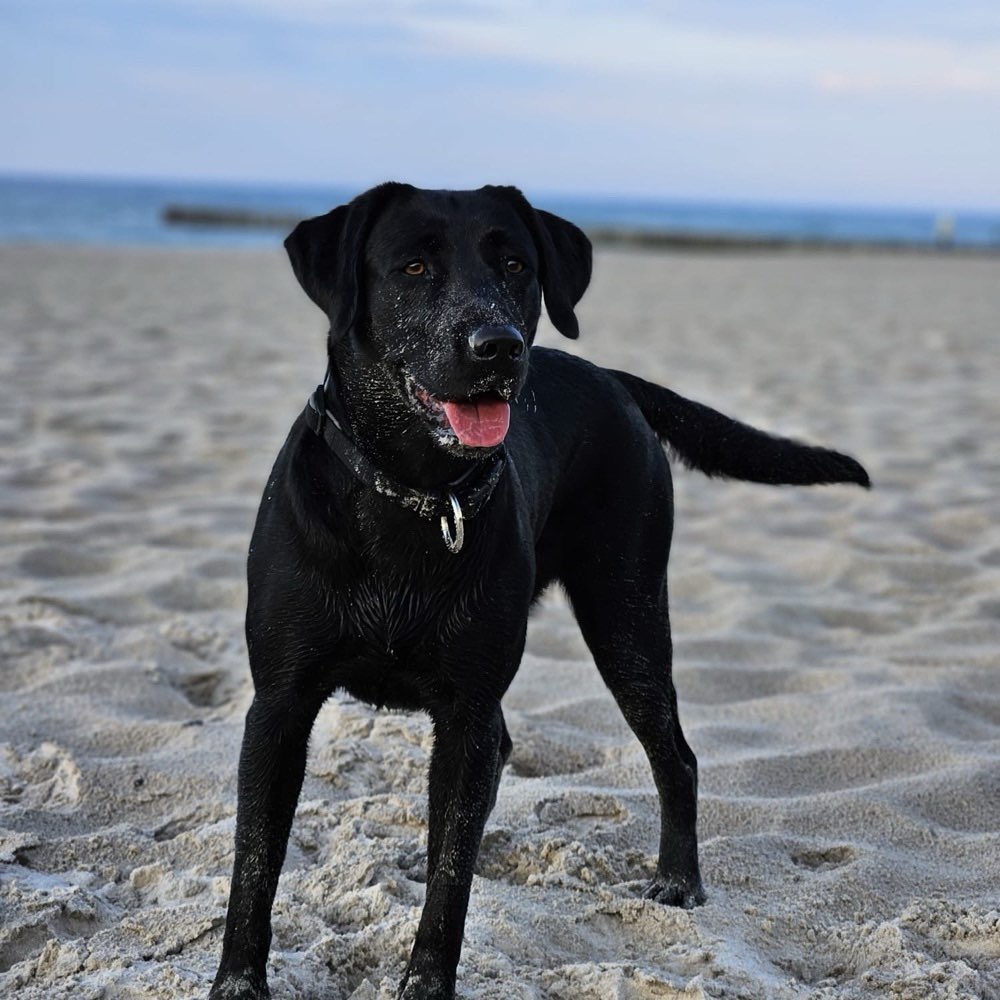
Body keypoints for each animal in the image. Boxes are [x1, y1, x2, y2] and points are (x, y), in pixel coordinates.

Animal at [211, 184, 868, 996]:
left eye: (517, 265)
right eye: (413, 266)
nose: (497, 347)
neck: (415, 496)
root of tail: (612, 378)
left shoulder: (466, 709)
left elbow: (450, 880)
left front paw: (427, 982)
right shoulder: (280, 704)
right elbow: (255, 865)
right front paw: (238, 982)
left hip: (627, 613)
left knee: (673, 755)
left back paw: (678, 879)